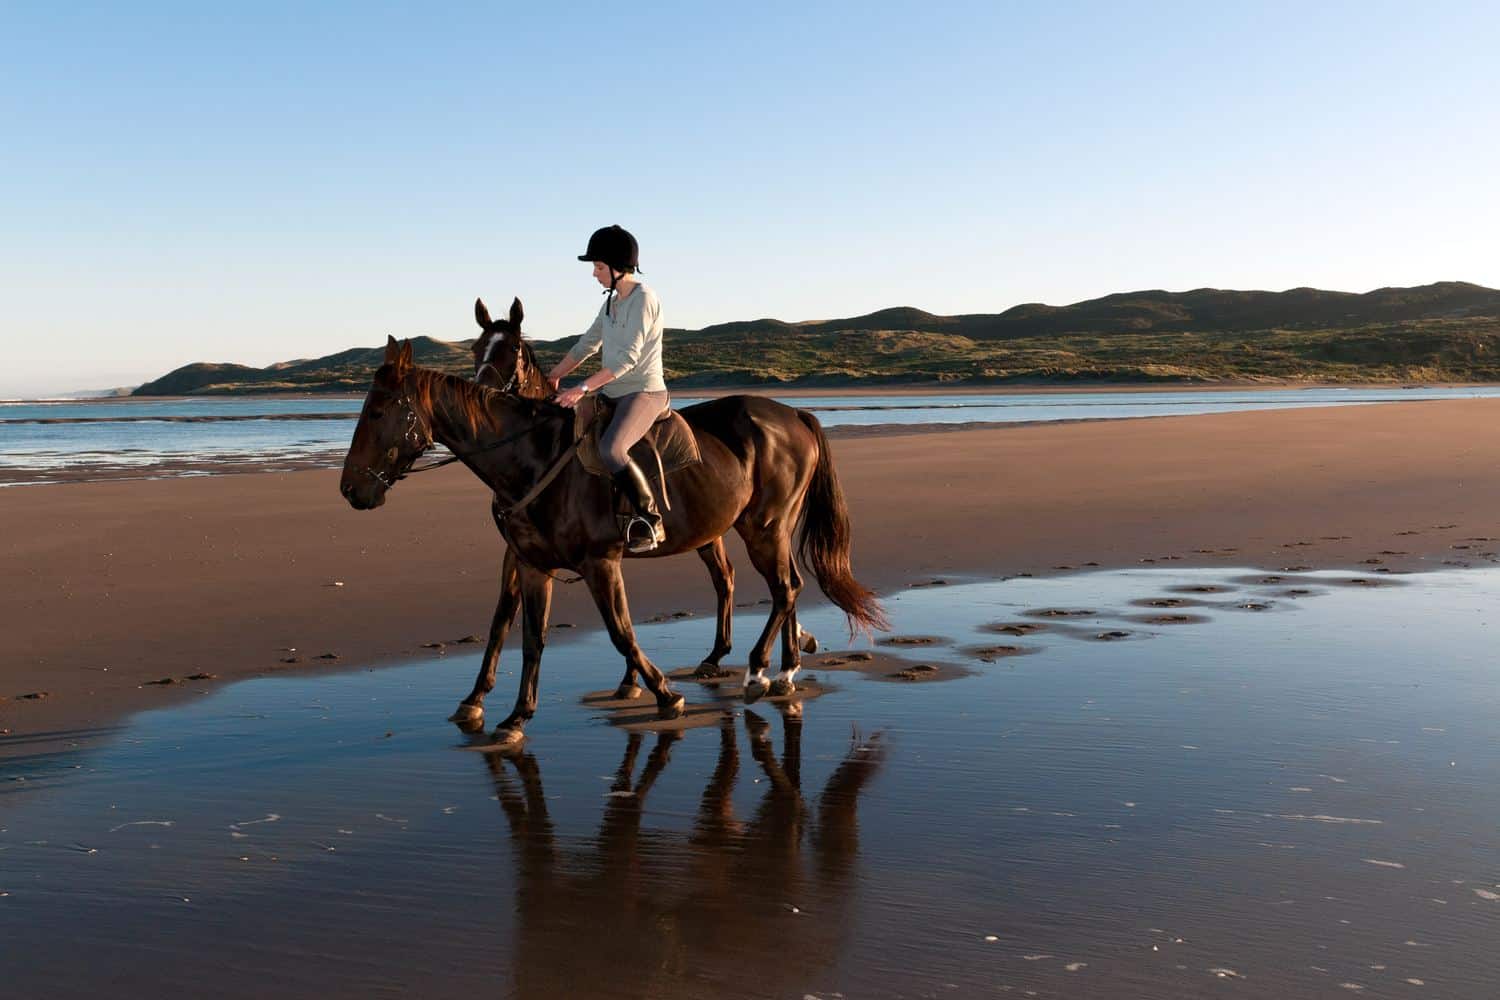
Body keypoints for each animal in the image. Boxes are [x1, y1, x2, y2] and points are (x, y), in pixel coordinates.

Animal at [340, 337, 887, 747]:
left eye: (378, 411)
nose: (349, 490)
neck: (535, 460)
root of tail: (795, 415)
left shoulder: (601, 563)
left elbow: (621, 632)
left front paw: (664, 694)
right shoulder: (532, 564)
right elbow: (528, 636)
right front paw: (513, 716)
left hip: (764, 527)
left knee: (783, 588)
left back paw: (757, 670)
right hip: (762, 529)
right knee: (784, 587)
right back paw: (784, 666)